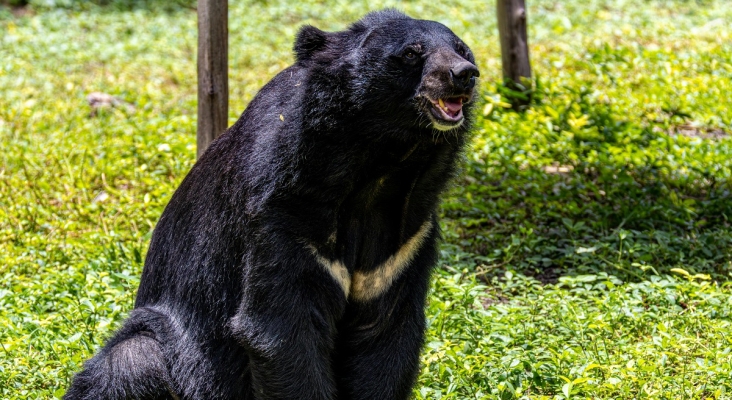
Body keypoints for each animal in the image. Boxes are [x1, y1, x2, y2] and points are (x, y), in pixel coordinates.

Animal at [65, 9, 479, 400]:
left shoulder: (404, 241)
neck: (381, 167)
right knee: (132, 360)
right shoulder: (282, 210)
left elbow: (385, 334)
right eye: (411, 53)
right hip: (170, 347)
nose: (464, 74)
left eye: (461, 49)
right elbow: (281, 329)